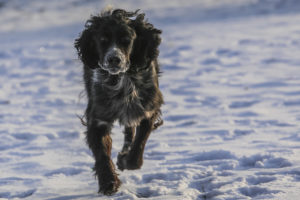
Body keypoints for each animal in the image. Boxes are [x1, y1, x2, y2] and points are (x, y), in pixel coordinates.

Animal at [75, 8, 164, 195]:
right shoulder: (98, 118)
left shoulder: (148, 108)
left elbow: (139, 142)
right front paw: (108, 182)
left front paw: (126, 161)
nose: (113, 59)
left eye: (127, 40)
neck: (121, 80)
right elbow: (102, 152)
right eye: (102, 40)